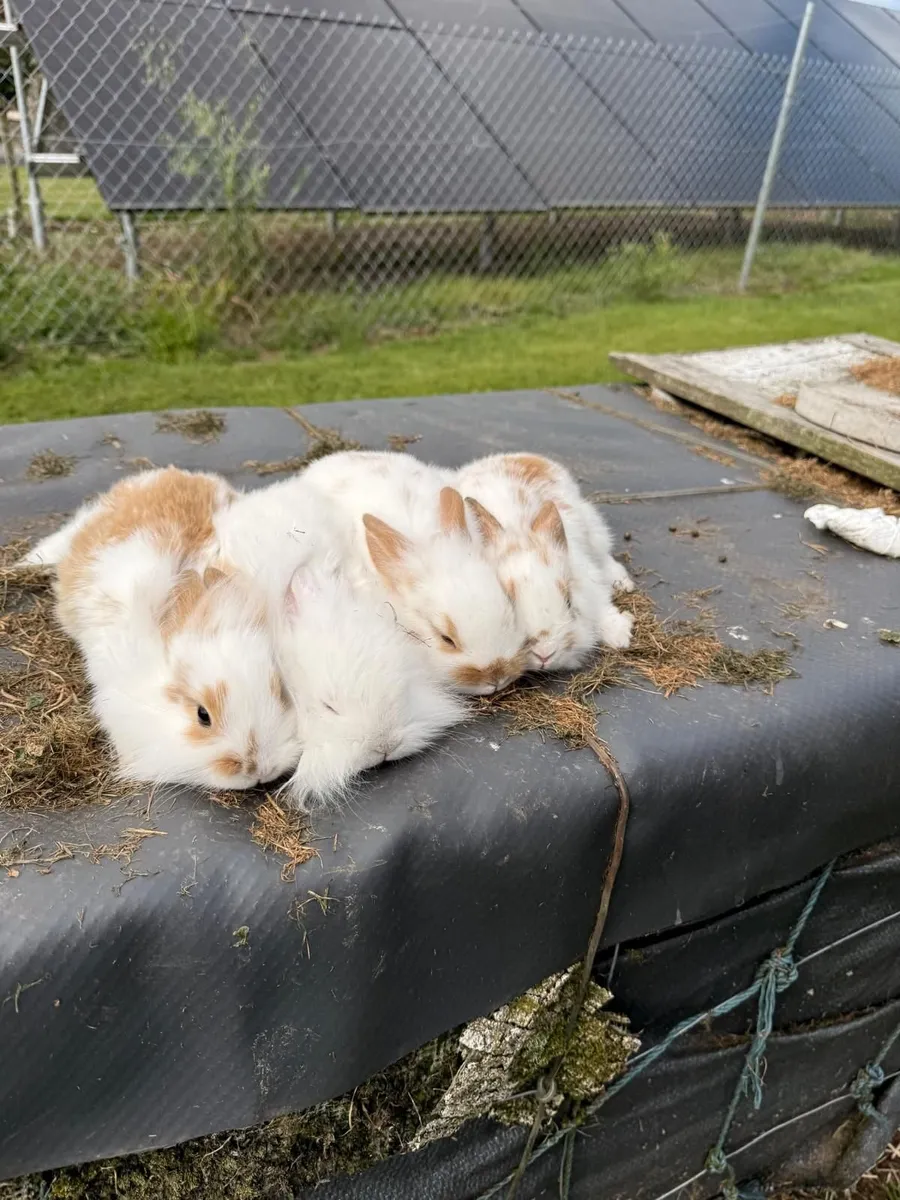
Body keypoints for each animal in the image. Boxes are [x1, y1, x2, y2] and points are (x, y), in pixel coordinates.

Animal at [455, 453, 635, 672]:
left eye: (569, 601)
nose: (545, 654)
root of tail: (520, 455)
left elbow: (601, 603)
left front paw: (620, 637)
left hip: (594, 530)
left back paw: (624, 584)